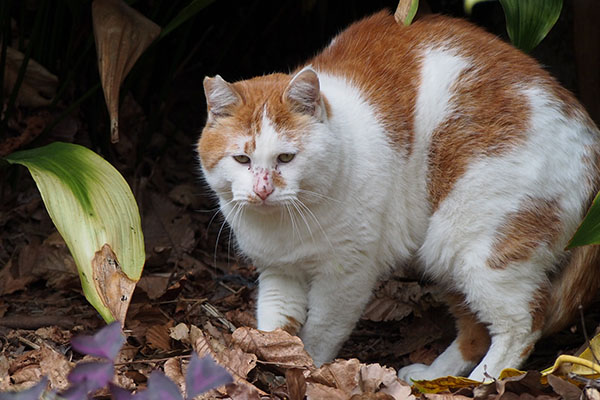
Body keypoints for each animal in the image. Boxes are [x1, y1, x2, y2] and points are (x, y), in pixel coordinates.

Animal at [197, 10, 600, 382]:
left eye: (285, 158)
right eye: (242, 159)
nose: (263, 189)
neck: (285, 225)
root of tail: (592, 139)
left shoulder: (346, 274)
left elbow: (322, 329)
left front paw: (312, 370)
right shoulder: (279, 271)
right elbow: (275, 324)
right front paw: (278, 358)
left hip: (478, 247)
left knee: (522, 324)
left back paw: (481, 383)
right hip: (443, 256)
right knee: (476, 332)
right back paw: (435, 378)